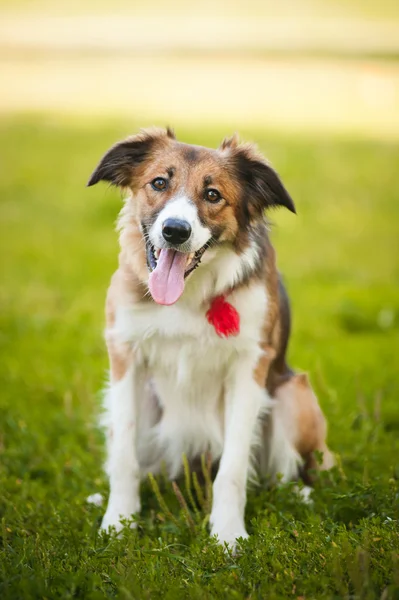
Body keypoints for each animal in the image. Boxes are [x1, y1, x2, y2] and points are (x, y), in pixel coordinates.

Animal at [87, 127, 334, 548]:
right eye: (159, 183)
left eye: (213, 195)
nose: (175, 230)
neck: (187, 293)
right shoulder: (125, 356)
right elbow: (123, 454)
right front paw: (119, 521)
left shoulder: (249, 368)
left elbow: (233, 467)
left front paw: (229, 534)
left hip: (292, 394)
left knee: (290, 470)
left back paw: (300, 495)